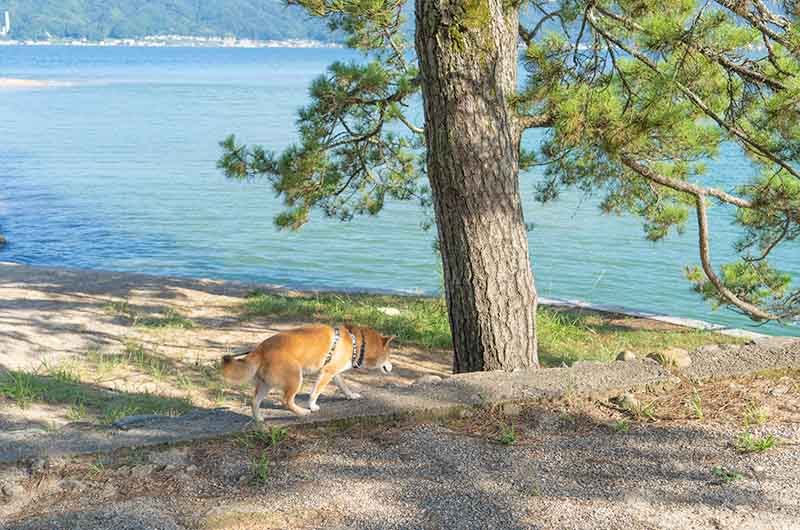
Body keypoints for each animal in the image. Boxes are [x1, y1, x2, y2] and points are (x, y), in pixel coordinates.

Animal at [220, 322, 396, 416]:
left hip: (266, 384)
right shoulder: (326, 373)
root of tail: (260, 349)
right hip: (296, 378)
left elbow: (344, 386)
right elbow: (315, 393)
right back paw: (302, 412)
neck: (355, 342)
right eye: (389, 355)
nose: (391, 367)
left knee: (254, 402)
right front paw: (312, 406)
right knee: (286, 401)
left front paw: (351, 396)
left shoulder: (334, 372)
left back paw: (259, 421)